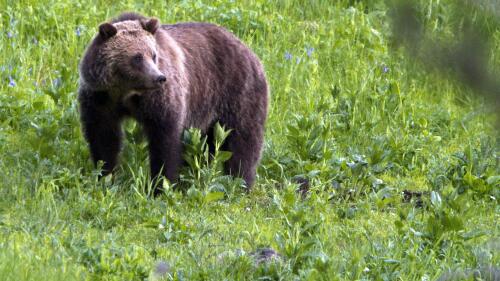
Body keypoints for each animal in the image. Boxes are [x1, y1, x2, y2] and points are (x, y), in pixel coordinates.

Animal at [79, 12, 270, 191]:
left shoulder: (160, 101)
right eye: (137, 57)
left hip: (237, 93)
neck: (126, 92)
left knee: (243, 141)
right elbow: (103, 137)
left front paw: (160, 185)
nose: (159, 77)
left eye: (153, 55)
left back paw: (240, 183)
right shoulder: (100, 99)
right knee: (207, 145)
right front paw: (105, 176)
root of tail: (248, 49)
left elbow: (165, 141)